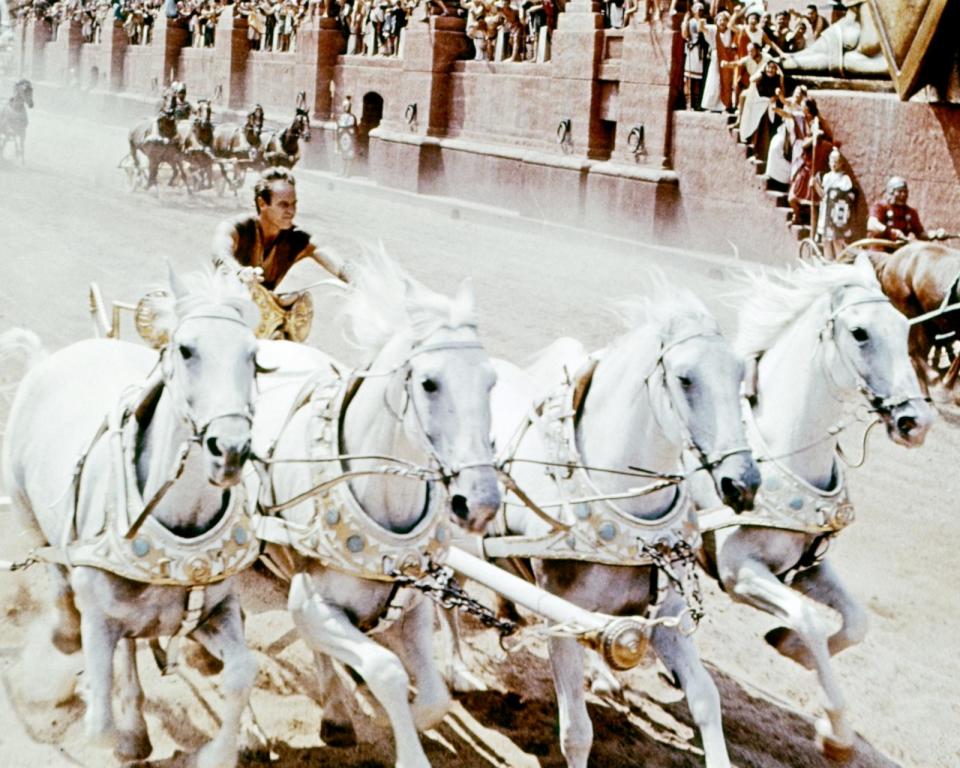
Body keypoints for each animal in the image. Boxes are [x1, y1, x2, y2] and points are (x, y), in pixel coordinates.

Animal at [1, 268, 260, 764]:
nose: (231, 450)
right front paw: (115, 725)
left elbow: (240, 676)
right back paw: (70, 643)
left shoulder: (217, 611)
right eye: (186, 349)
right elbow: (99, 725)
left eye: (254, 356)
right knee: (59, 578)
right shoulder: (100, 620)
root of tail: (49, 359)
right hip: (28, 513)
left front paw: (217, 753)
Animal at [244, 255, 498, 764]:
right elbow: (387, 670)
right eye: (429, 383)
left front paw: (406, 717)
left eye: (491, 382)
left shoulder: (413, 602)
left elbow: (436, 698)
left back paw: (336, 711)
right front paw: (402, 740)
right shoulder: (312, 602)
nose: (480, 503)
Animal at [488, 292, 764, 768]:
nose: (743, 483)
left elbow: (706, 700)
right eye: (685, 379)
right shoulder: (559, 617)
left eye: (739, 377)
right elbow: (577, 732)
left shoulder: (667, 614)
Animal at [692, 255, 932, 760]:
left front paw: (789, 647)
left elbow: (857, 622)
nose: (916, 422)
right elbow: (809, 620)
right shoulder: (740, 573)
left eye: (904, 329)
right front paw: (836, 728)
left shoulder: (808, 568)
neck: (781, 454)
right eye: (859, 333)